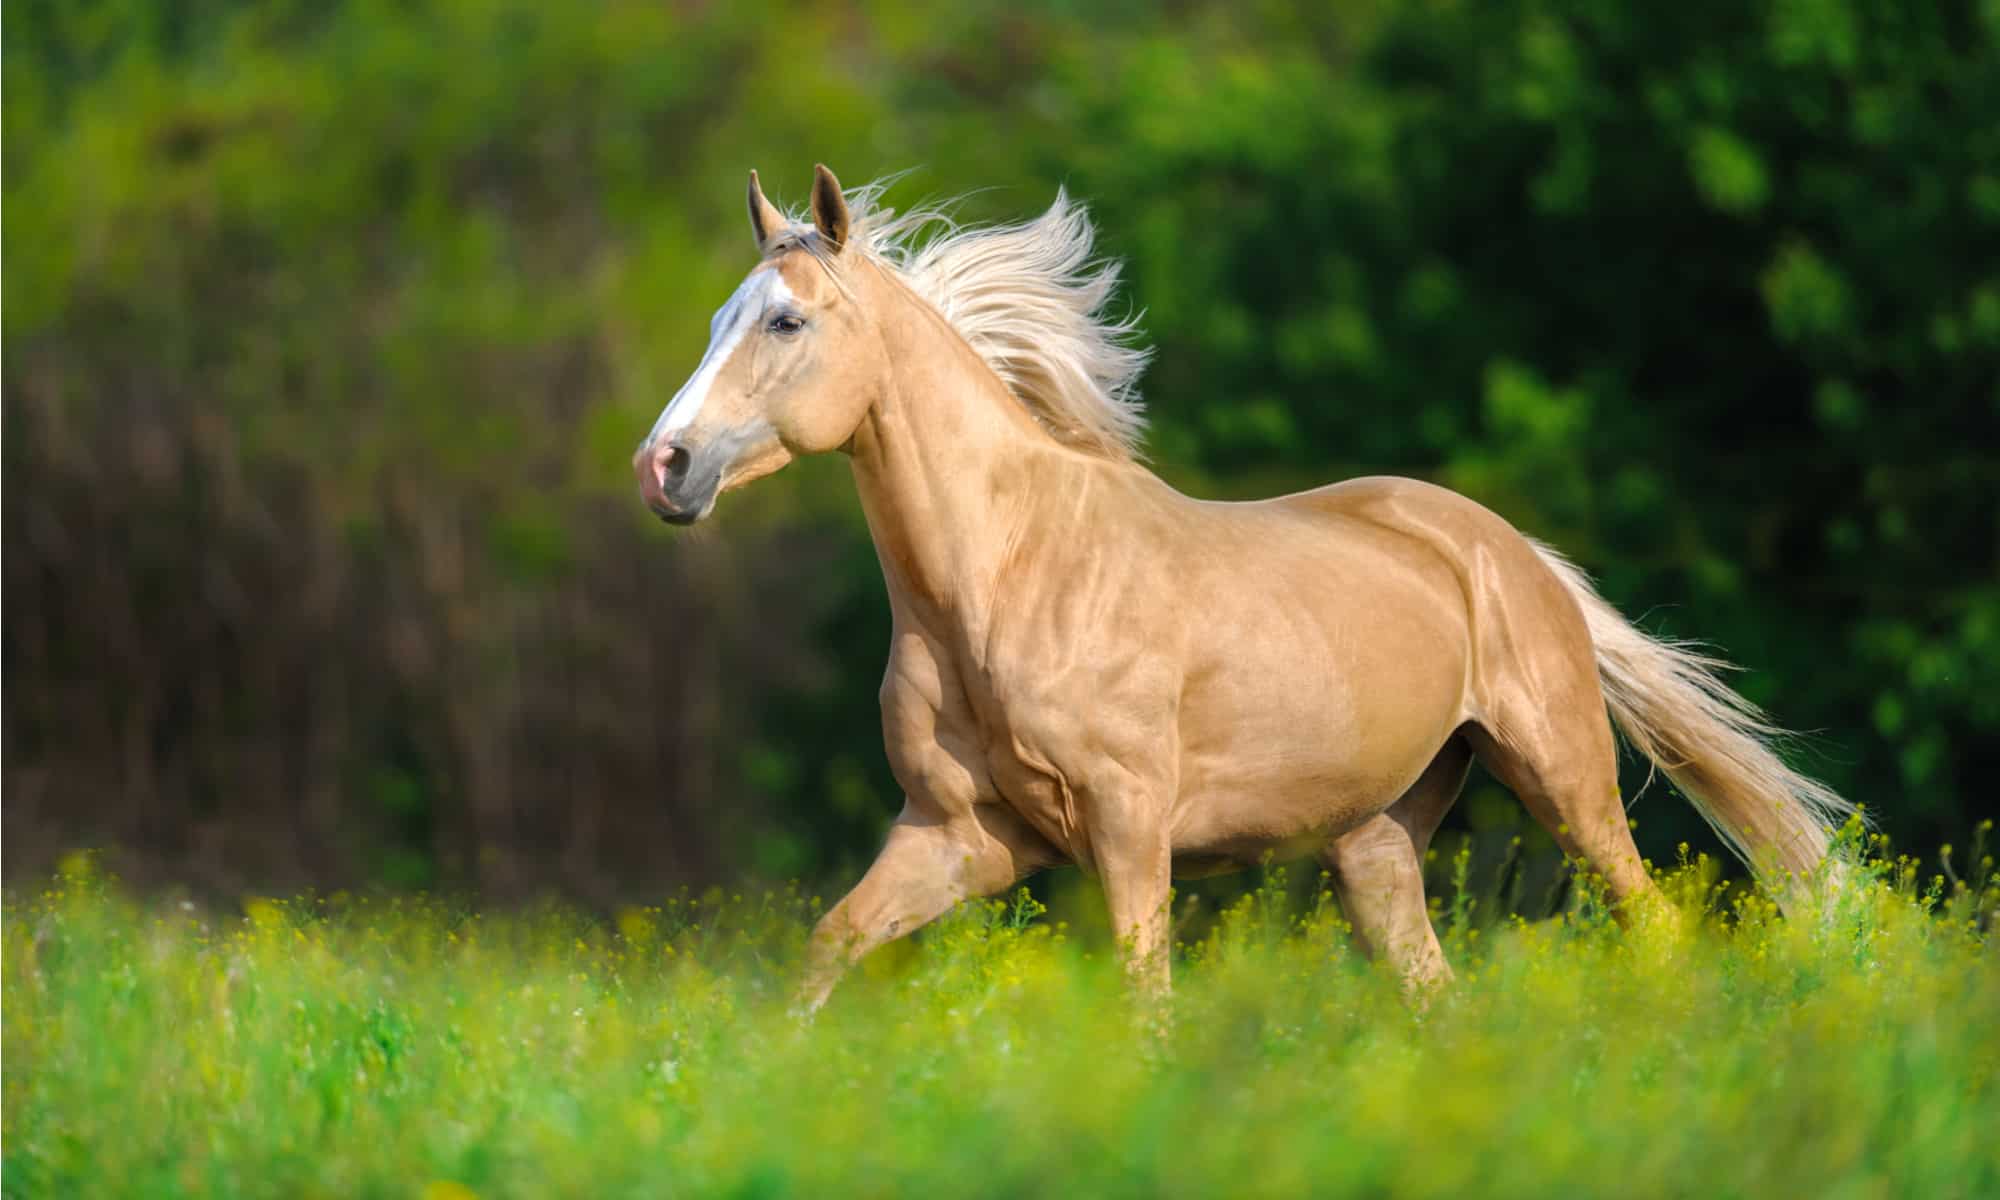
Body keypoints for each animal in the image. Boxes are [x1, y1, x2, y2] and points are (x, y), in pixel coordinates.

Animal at [634, 165, 1853, 1009]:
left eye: (786, 319)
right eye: (719, 319)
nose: (665, 466)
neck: (1005, 581)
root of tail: (1509, 552)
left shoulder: (1128, 827)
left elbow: (1146, 1003)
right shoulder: (957, 836)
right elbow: (827, 948)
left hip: (1562, 776)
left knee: (1651, 927)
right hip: (1376, 841)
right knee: (1434, 993)